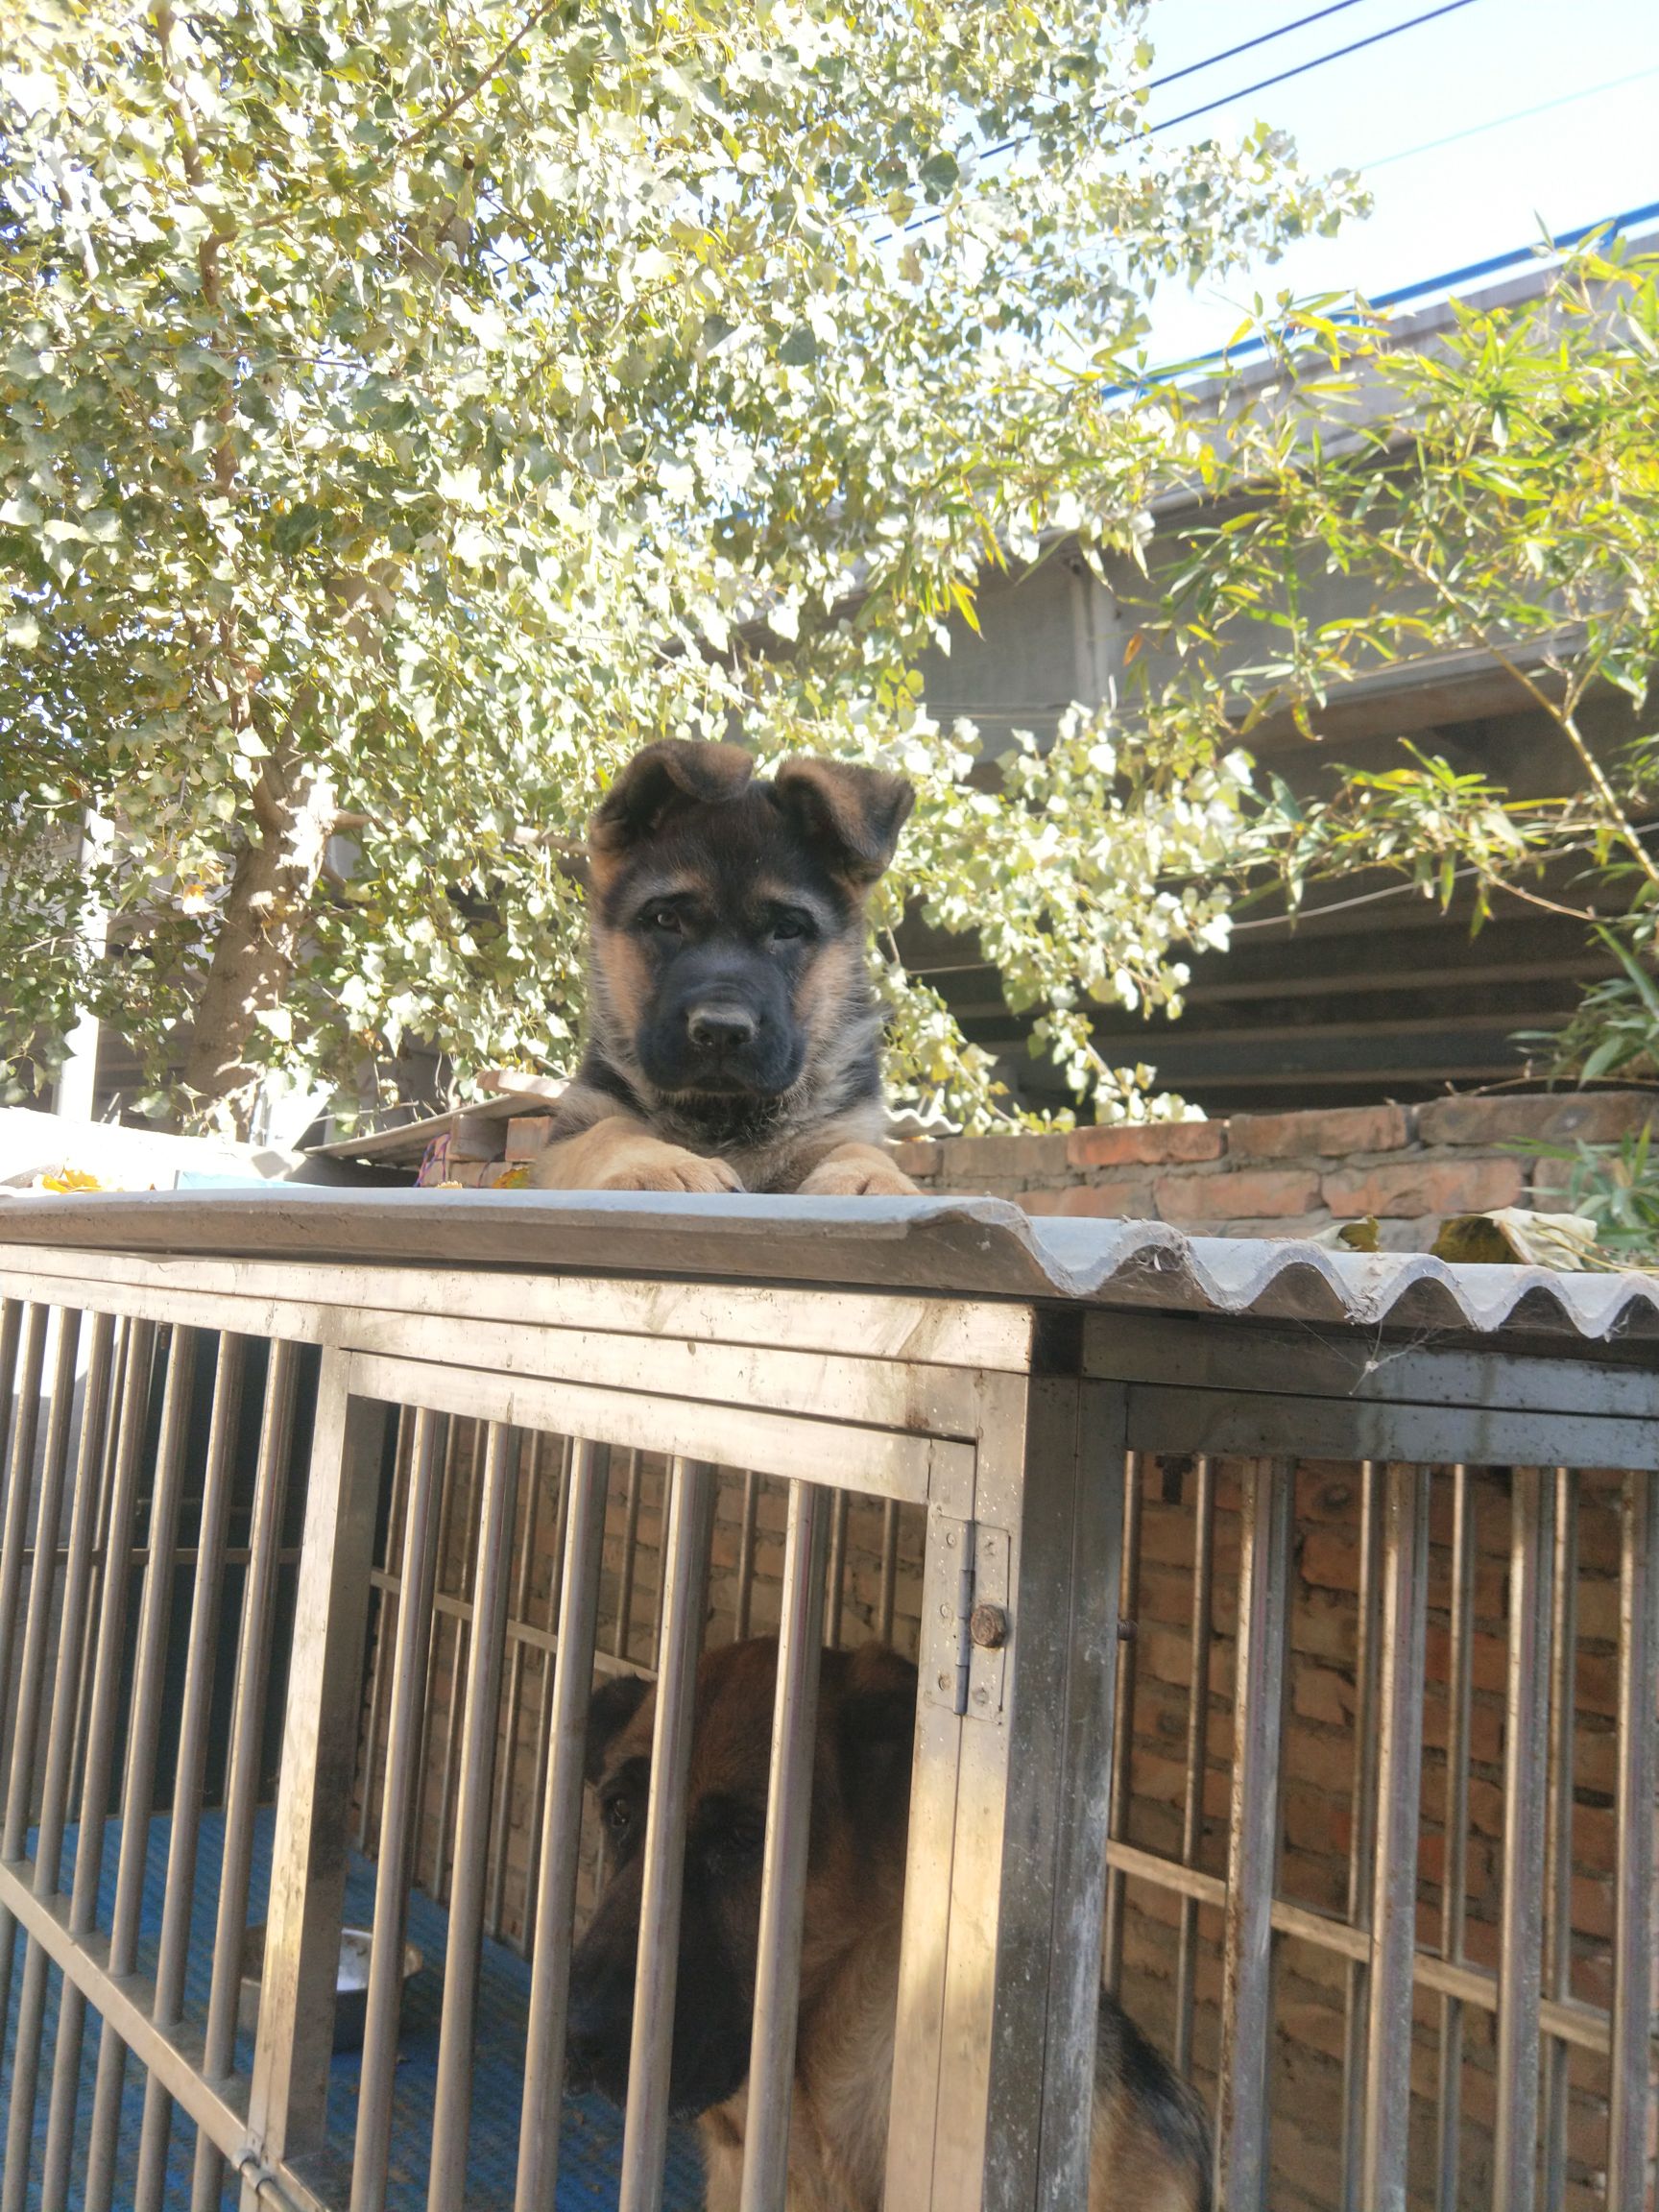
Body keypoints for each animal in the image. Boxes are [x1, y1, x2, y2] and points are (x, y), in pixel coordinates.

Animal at [533, 738, 925, 1194]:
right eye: (665, 919)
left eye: (788, 929)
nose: (721, 1031)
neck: (726, 1111)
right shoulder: (572, 1131)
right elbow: (611, 1131)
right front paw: (663, 1165)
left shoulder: (847, 1125)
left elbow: (859, 1148)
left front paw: (873, 1178)